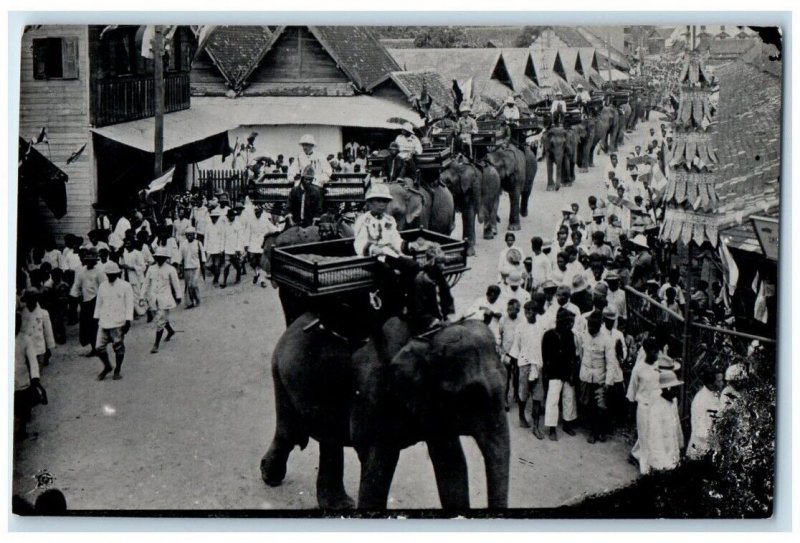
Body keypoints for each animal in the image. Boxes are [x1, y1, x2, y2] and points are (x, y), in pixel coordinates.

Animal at [262, 314, 512, 510]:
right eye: (471, 396)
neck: (427, 336)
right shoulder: (374, 392)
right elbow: (378, 462)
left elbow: (451, 462)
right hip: (281, 376)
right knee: (289, 432)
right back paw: (270, 477)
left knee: (326, 439)